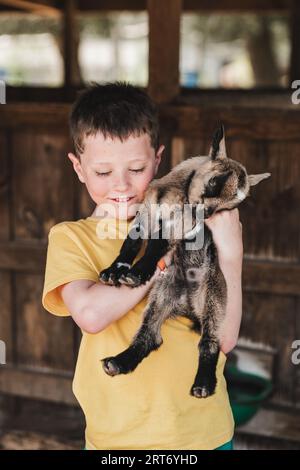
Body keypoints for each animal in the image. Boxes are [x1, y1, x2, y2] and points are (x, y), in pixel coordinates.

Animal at [99, 125, 270, 396]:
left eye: (228, 207)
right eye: (215, 182)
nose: (206, 214)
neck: (174, 192)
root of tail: (189, 307)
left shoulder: (180, 224)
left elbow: (157, 243)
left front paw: (137, 273)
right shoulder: (146, 214)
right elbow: (131, 243)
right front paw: (115, 270)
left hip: (215, 299)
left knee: (210, 342)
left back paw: (203, 384)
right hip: (161, 296)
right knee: (150, 335)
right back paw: (119, 362)